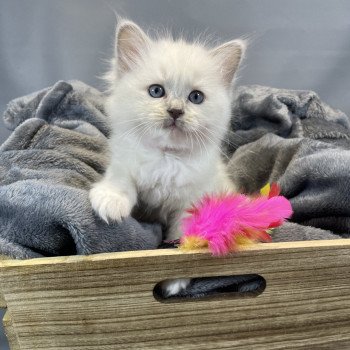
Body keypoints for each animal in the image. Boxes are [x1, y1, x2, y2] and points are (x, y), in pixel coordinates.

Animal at [89, 19, 245, 296]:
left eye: (196, 97)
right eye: (156, 91)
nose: (175, 111)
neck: (165, 158)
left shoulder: (191, 202)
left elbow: (181, 239)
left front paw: (173, 280)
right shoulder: (123, 164)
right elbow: (121, 183)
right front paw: (111, 202)